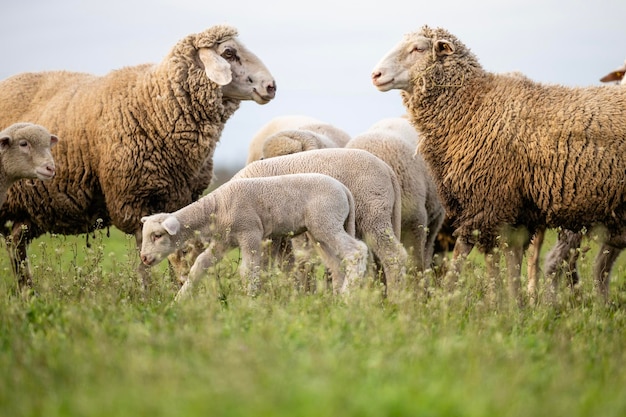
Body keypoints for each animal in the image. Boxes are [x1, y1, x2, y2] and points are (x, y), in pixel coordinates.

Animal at [0, 24, 274, 288]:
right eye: (229, 53)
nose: (271, 86)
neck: (157, 107)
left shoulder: (181, 198)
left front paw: (175, 287)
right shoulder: (132, 200)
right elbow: (145, 257)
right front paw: (148, 294)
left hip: (29, 211)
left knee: (16, 244)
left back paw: (27, 292)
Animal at [139, 172, 368, 300]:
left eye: (157, 235)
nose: (144, 258)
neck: (217, 206)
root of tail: (344, 189)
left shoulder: (250, 233)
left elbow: (248, 270)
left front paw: (250, 301)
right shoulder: (223, 241)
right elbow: (200, 264)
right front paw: (179, 300)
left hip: (326, 221)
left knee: (357, 251)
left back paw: (347, 296)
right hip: (319, 230)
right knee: (336, 263)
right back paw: (338, 298)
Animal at [370, 23, 624, 302]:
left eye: (418, 48)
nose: (375, 74)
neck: (472, 106)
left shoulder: (488, 197)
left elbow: (468, 251)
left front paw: (453, 297)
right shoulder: (514, 207)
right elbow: (510, 257)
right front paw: (513, 302)